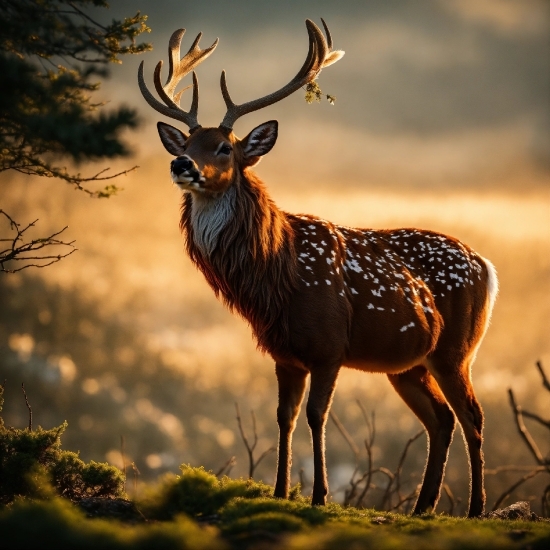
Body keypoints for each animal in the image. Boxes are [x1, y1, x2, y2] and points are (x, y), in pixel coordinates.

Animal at [139, 17, 500, 516]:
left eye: (225, 148)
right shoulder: (284, 353)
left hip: (456, 349)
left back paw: (475, 508)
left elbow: (315, 415)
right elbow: (284, 417)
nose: (182, 163)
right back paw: (422, 505)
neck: (278, 276)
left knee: (473, 416)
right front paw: (278, 491)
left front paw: (320, 495)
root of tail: (487, 267)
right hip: (407, 365)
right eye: (189, 141)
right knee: (441, 419)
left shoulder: (329, 345)